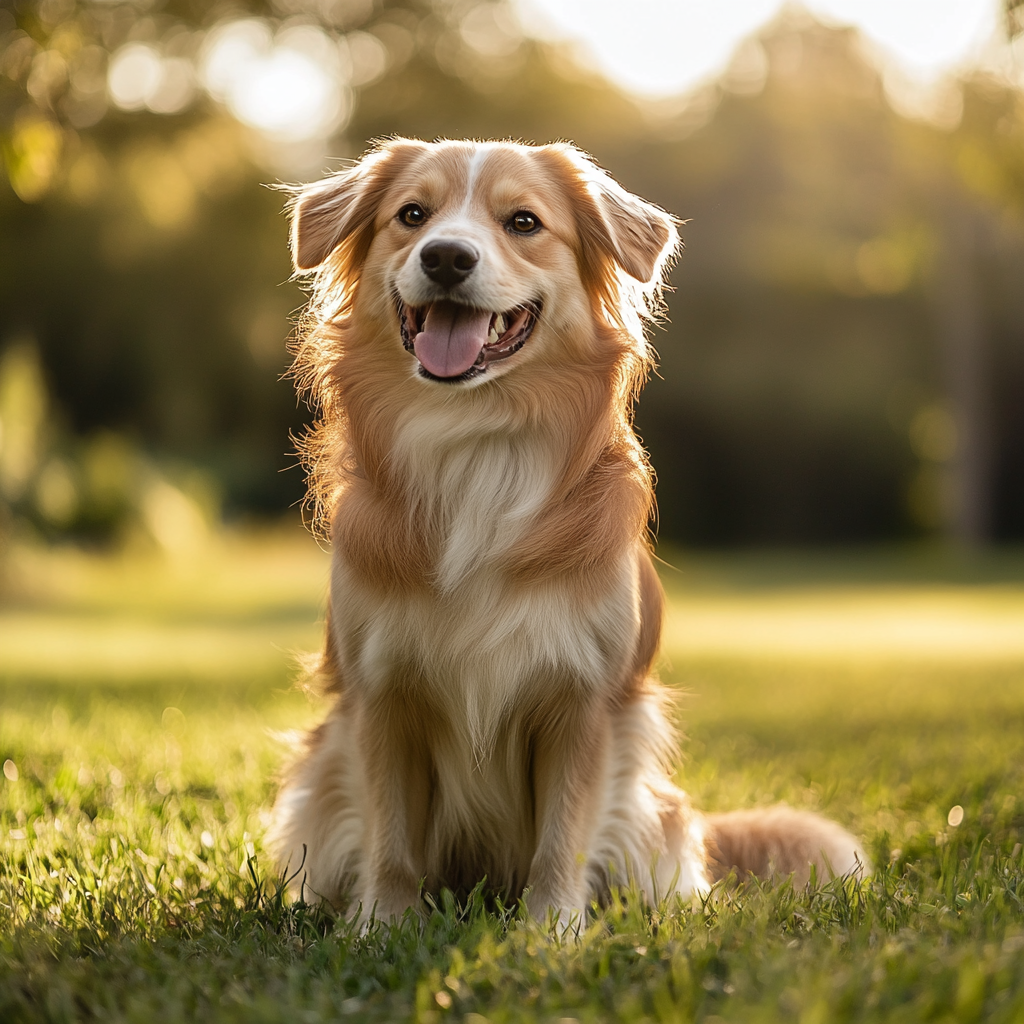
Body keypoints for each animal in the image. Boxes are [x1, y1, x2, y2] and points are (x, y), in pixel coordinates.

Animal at [268, 138, 868, 929]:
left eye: (523, 222)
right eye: (412, 215)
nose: (446, 257)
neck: (476, 443)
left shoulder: (583, 699)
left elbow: (565, 836)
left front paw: (549, 931)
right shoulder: (382, 695)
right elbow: (391, 838)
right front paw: (381, 928)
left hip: (651, 809)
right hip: (323, 769)